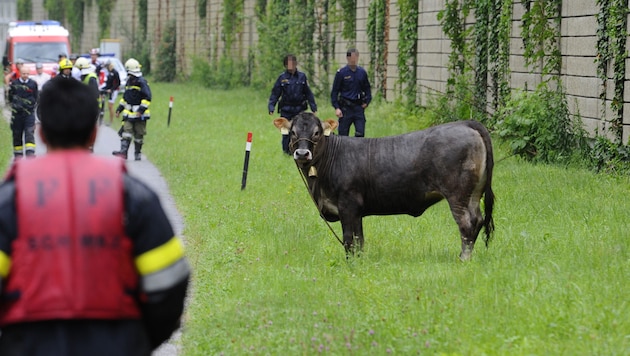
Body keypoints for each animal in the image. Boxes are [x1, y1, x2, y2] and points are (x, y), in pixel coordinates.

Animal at [274, 114, 496, 262]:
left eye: (317, 133)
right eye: (293, 132)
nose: (302, 153)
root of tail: (465, 123)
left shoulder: (348, 205)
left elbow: (349, 240)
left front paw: (351, 264)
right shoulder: (357, 212)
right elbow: (359, 240)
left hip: (457, 195)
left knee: (466, 224)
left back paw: (463, 259)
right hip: (474, 194)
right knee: (477, 220)